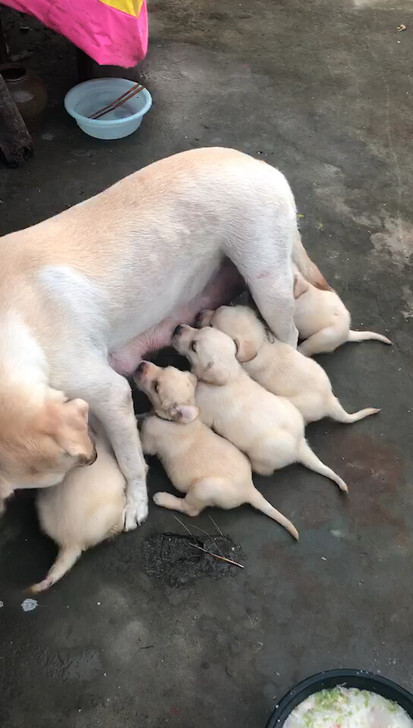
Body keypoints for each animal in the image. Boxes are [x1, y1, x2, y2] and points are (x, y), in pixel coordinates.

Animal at [134, 362, 298, 536]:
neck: (172, 420)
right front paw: (138, 415)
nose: (141, 365)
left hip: (203, 488)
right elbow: (144, 415)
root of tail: (249, 489)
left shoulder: (149, 441)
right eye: (165, 367)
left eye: (156, 387)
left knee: (190, 509)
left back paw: (165, 499)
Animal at [173, 326, 348, 492]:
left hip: (261, 457)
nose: (177, 328)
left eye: (194, 346)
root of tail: (300, 446)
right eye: (201, 328)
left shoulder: (205, 414)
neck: (232, 375)